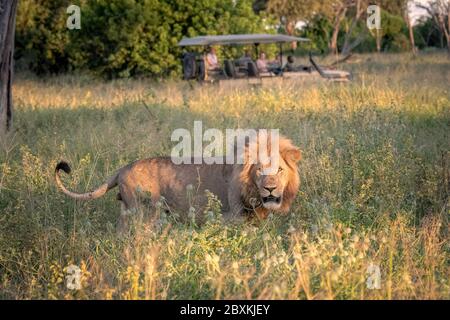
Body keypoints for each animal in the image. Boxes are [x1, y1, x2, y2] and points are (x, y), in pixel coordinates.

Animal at [55, 134, 302, 229]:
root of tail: (123, 168)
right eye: (260, 171)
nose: (270, 189)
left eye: (279, 170)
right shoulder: (232, 218)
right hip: (144, 213)